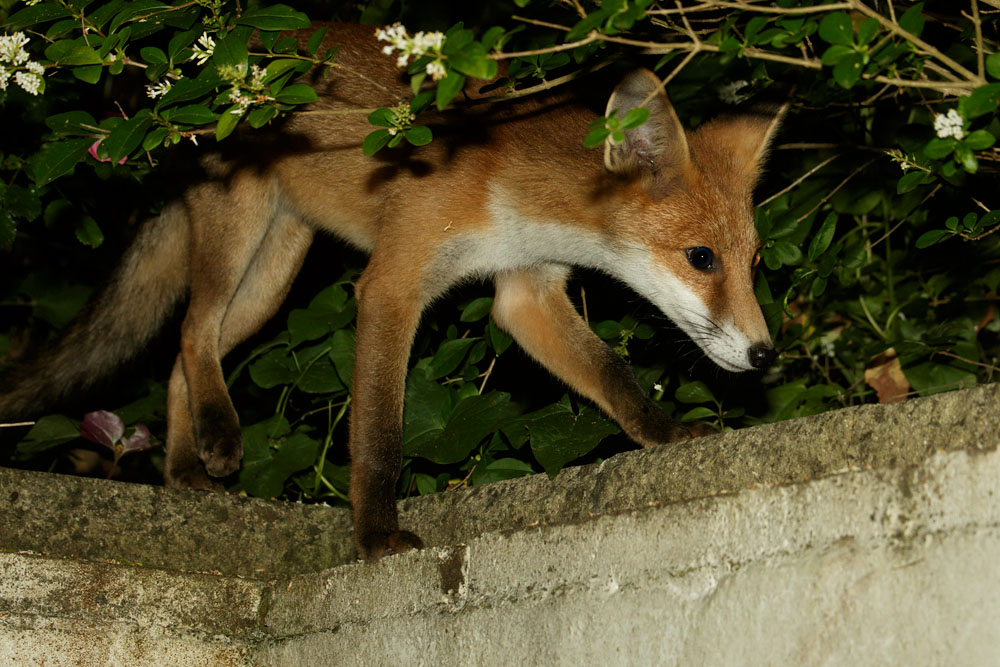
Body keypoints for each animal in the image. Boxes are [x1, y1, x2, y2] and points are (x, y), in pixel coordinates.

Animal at [0, 23, 782, 560]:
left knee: (183, 355)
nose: (766, 356)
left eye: (753, 261)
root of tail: (196, 83)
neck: (507, 190)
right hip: (240, 232)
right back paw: (218, 441)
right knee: (192, 329)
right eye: (701, 258)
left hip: (276, 275)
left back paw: (182, 471)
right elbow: (380, 435)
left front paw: (666, 435)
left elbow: (614, 375)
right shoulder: (392, 284)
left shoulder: (526, 291)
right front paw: (376, 536)